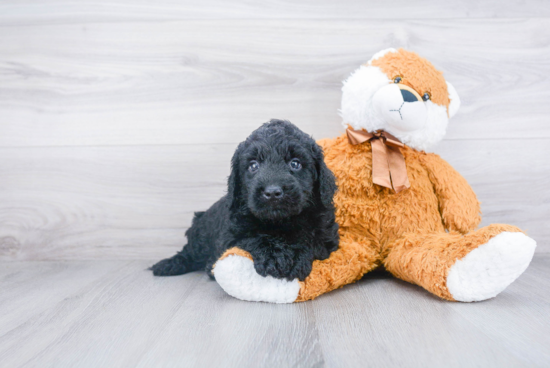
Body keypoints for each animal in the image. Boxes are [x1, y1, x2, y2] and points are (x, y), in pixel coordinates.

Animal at [152, 119, 340, 280]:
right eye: (253, 165)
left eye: (295, 163)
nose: (272, 192)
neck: (280, 221)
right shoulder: (230, 236)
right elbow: (253, 238)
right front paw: (275, 256)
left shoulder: (327, 237)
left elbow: (309, 240)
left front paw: (295, 258)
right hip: (199, 236)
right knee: (188, 253)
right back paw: (169, 265)